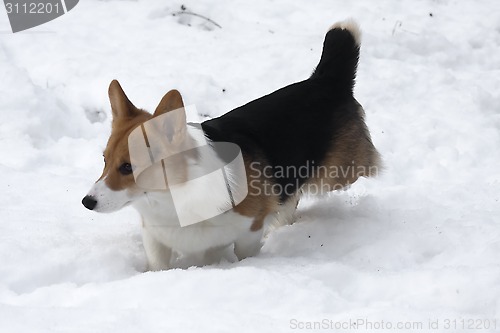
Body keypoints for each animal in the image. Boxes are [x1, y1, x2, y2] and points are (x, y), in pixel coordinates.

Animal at [82, 20, 380, 270]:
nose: (86, 202)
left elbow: (244, 251)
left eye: (128, 167)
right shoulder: (155, 237)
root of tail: (326, 80)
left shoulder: (249, 228)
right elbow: (160, 265)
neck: (173, 199)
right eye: (104, 160)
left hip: (339, 175)